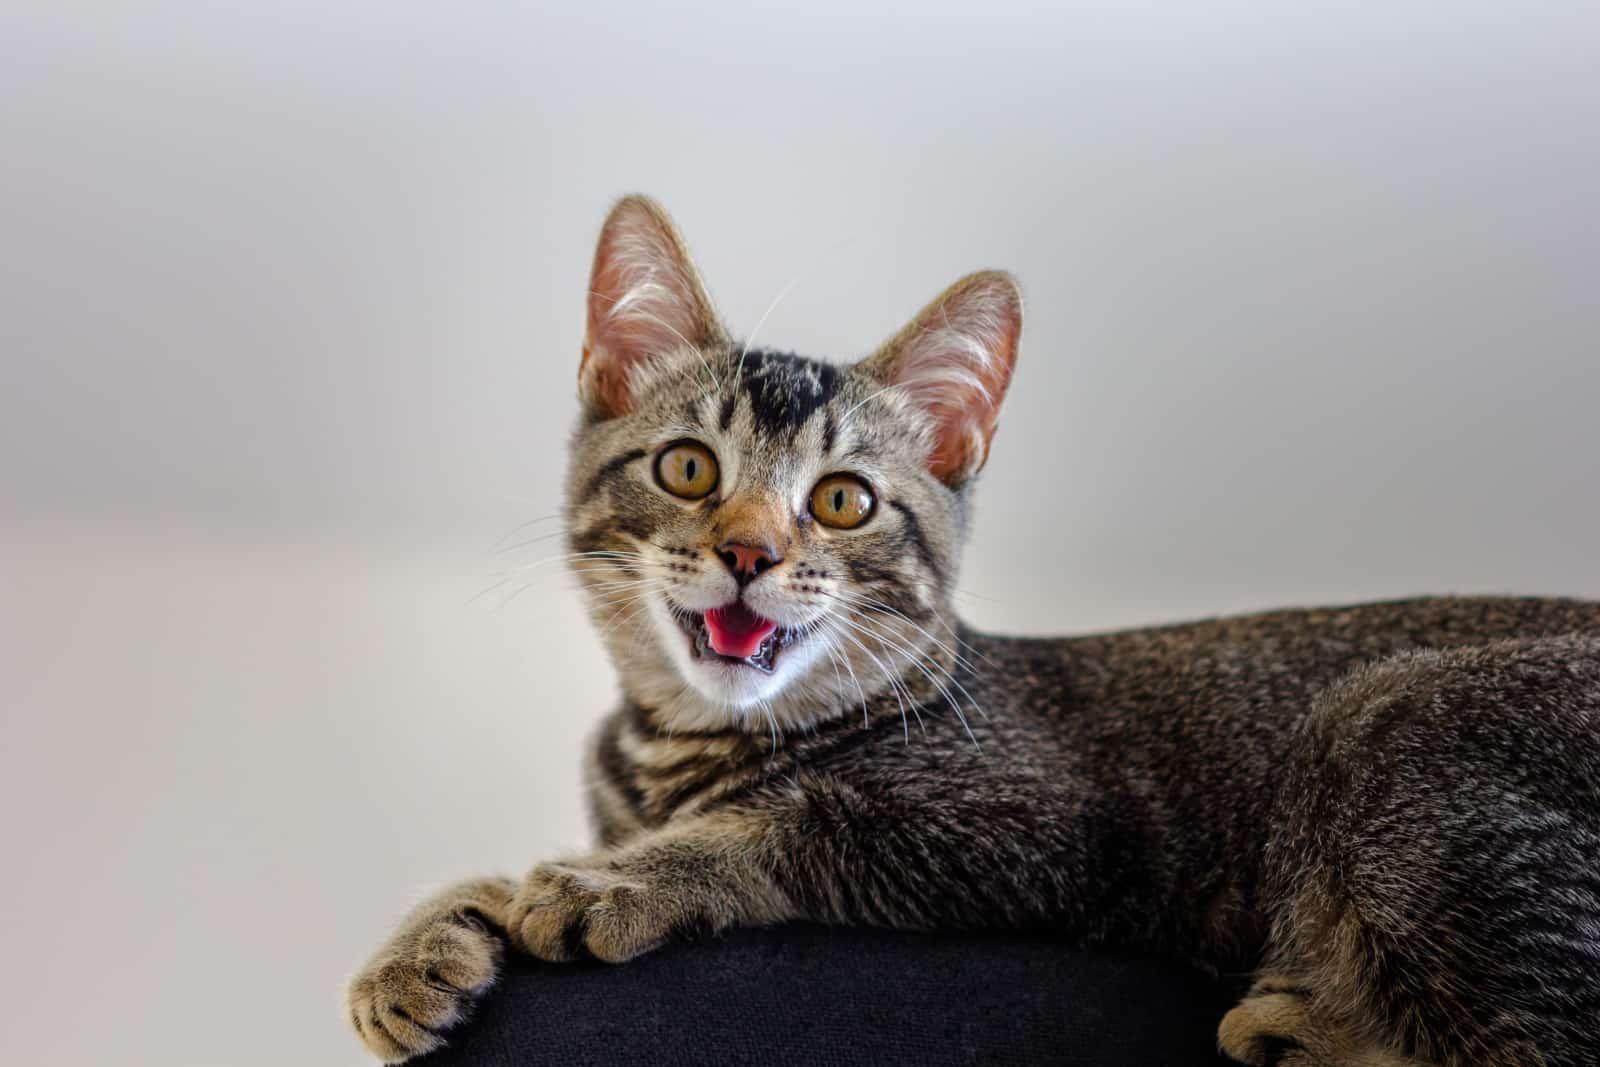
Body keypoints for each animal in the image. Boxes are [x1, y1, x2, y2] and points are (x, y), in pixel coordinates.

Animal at [347, 195, 1600, 1062]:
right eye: (689, 468)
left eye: (841, 499)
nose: (748, 552)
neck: (678, 752)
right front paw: (427, 937)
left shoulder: (1039, 824)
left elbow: (787, 820)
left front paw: (608, 879)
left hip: (1388, 716)